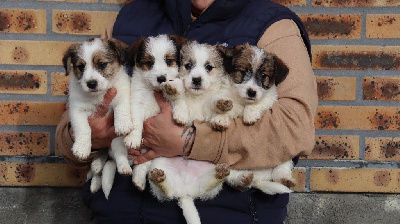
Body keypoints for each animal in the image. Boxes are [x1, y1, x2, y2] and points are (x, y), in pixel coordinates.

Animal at [62, 37, 134, 197]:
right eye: (81, 66)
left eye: (102, 64)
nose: (91, 83)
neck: (98, 96)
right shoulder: (77, 110)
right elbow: (84, 129)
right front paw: (82, 148)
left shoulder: (122, 93)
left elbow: (122, 108)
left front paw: (122, 124)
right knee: (97, 166)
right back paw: (96, 169)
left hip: (116, 142)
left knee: (119, 155)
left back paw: (124, 167)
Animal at [217, 43, 296, 194]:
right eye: (243, 71)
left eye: (264, 75)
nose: (251, 92)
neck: (242, 101)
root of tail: (259, 178)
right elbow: (224, 104)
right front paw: (219, 119)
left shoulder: (269, 97)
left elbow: (257, 103)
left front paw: (250, 115)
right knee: (234, 177)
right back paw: (244, 178)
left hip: (284, 151)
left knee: (280, 169)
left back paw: (285, 179)